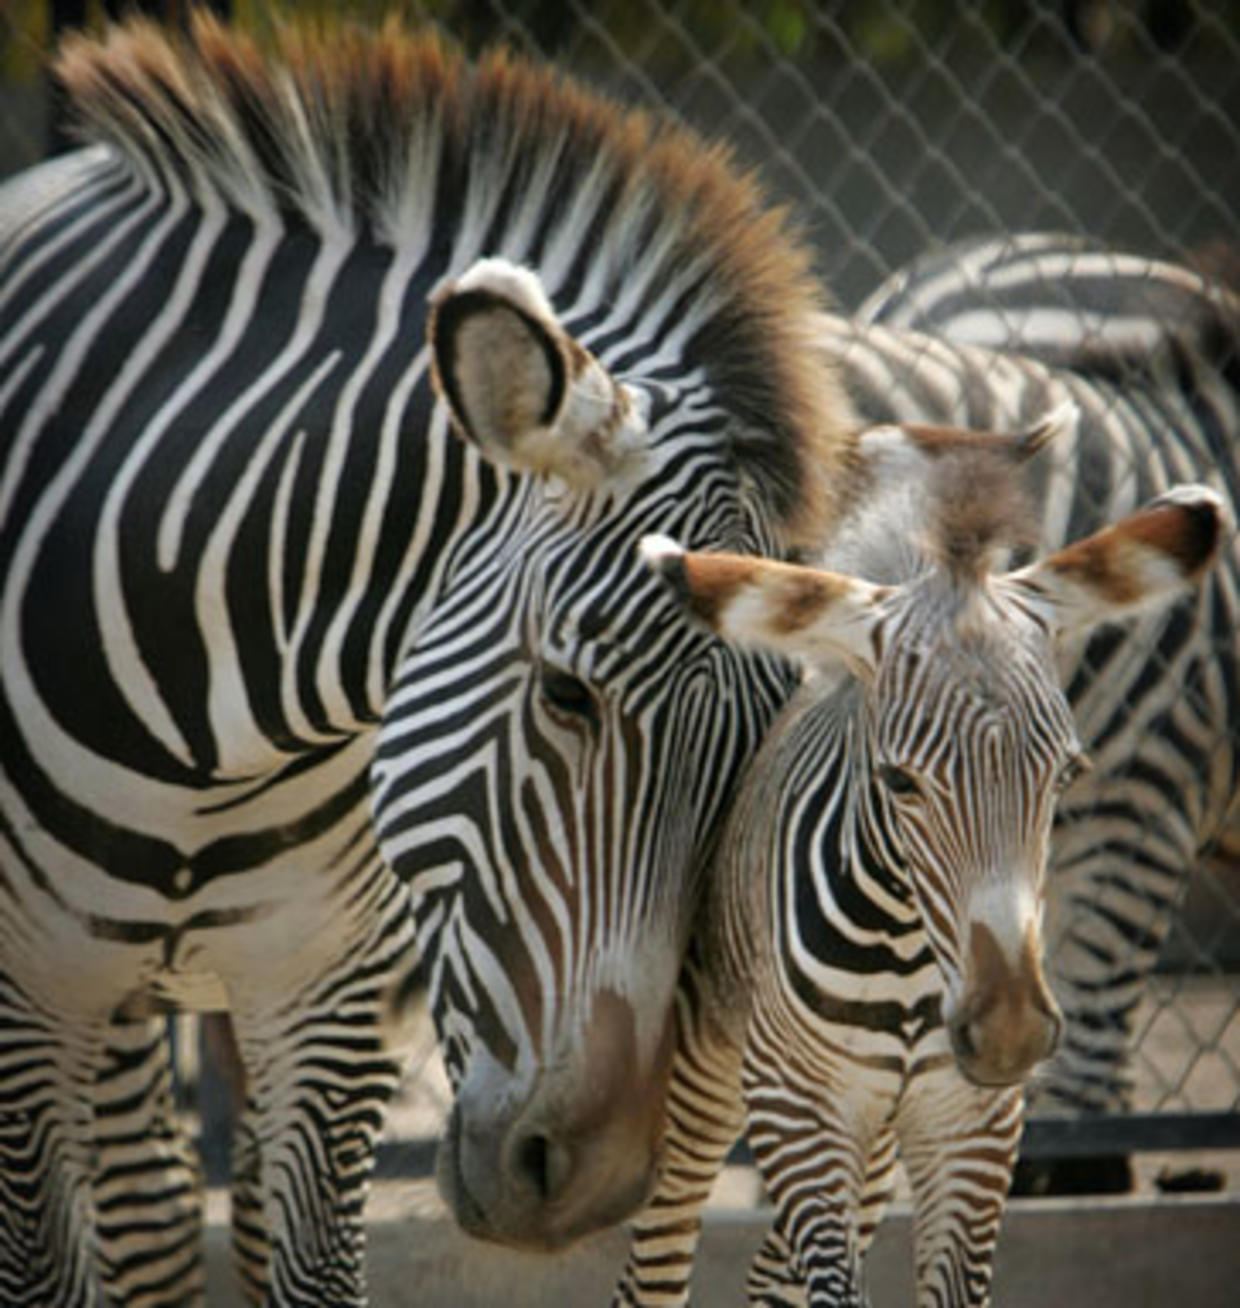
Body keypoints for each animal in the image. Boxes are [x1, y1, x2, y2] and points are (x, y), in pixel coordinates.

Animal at [614, 402, 1224, 1302]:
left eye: (1066, 773)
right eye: (899, 781)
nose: (1009, 1033)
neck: (905, 954)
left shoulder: (970, 1125)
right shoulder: (799, 1108)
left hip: (872, 1141)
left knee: (770, 1275)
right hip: (712, 1081)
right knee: (657, 1260)